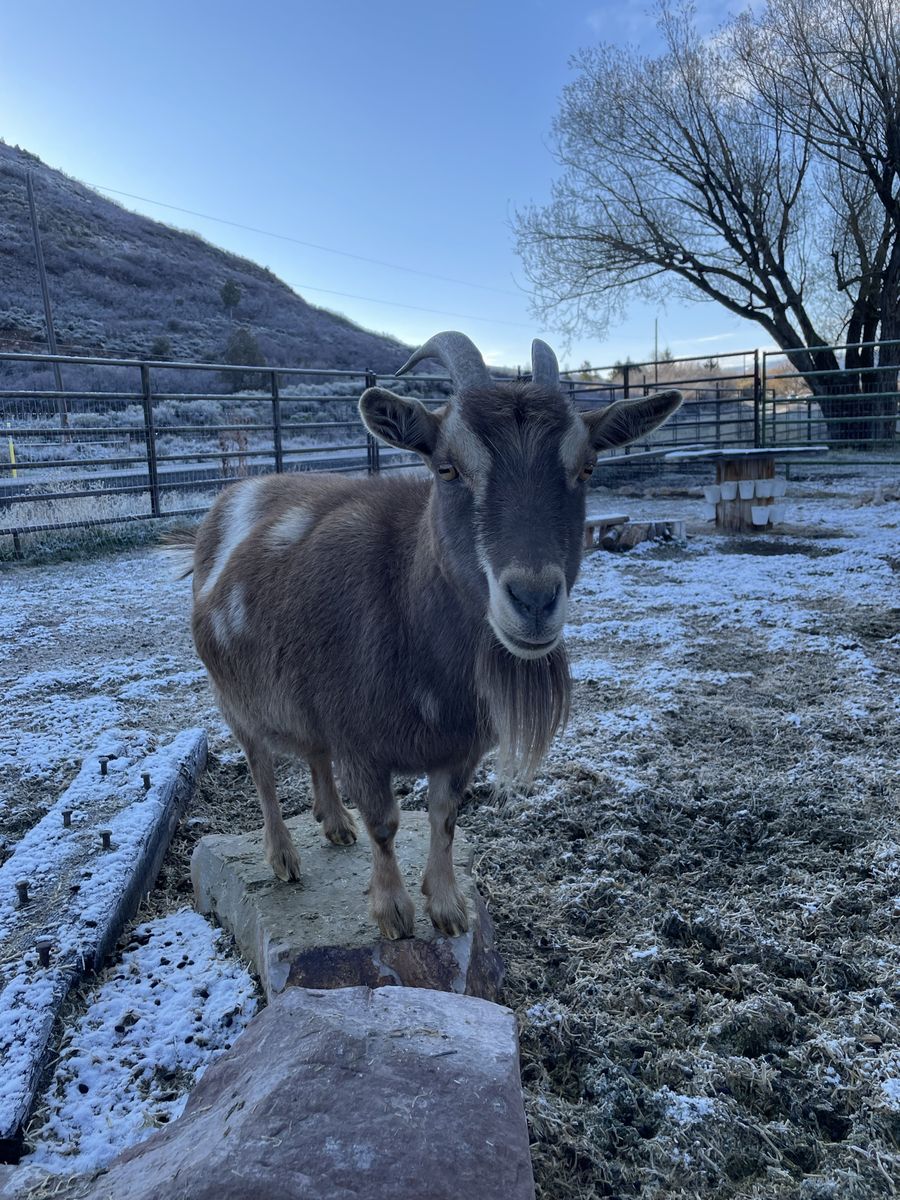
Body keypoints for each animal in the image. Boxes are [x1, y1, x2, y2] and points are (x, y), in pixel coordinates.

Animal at [168, 332, 681, 940]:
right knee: (261, 768)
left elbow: (446, 815)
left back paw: (334, 823)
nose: (533, 601)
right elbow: (385, 823)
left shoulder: (458, 744)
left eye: (587, 467)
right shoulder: (359, 738)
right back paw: (283, 856)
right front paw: (393, 913)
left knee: (312, 752)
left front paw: (447, 907)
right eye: (447, 467)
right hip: (232, 694)